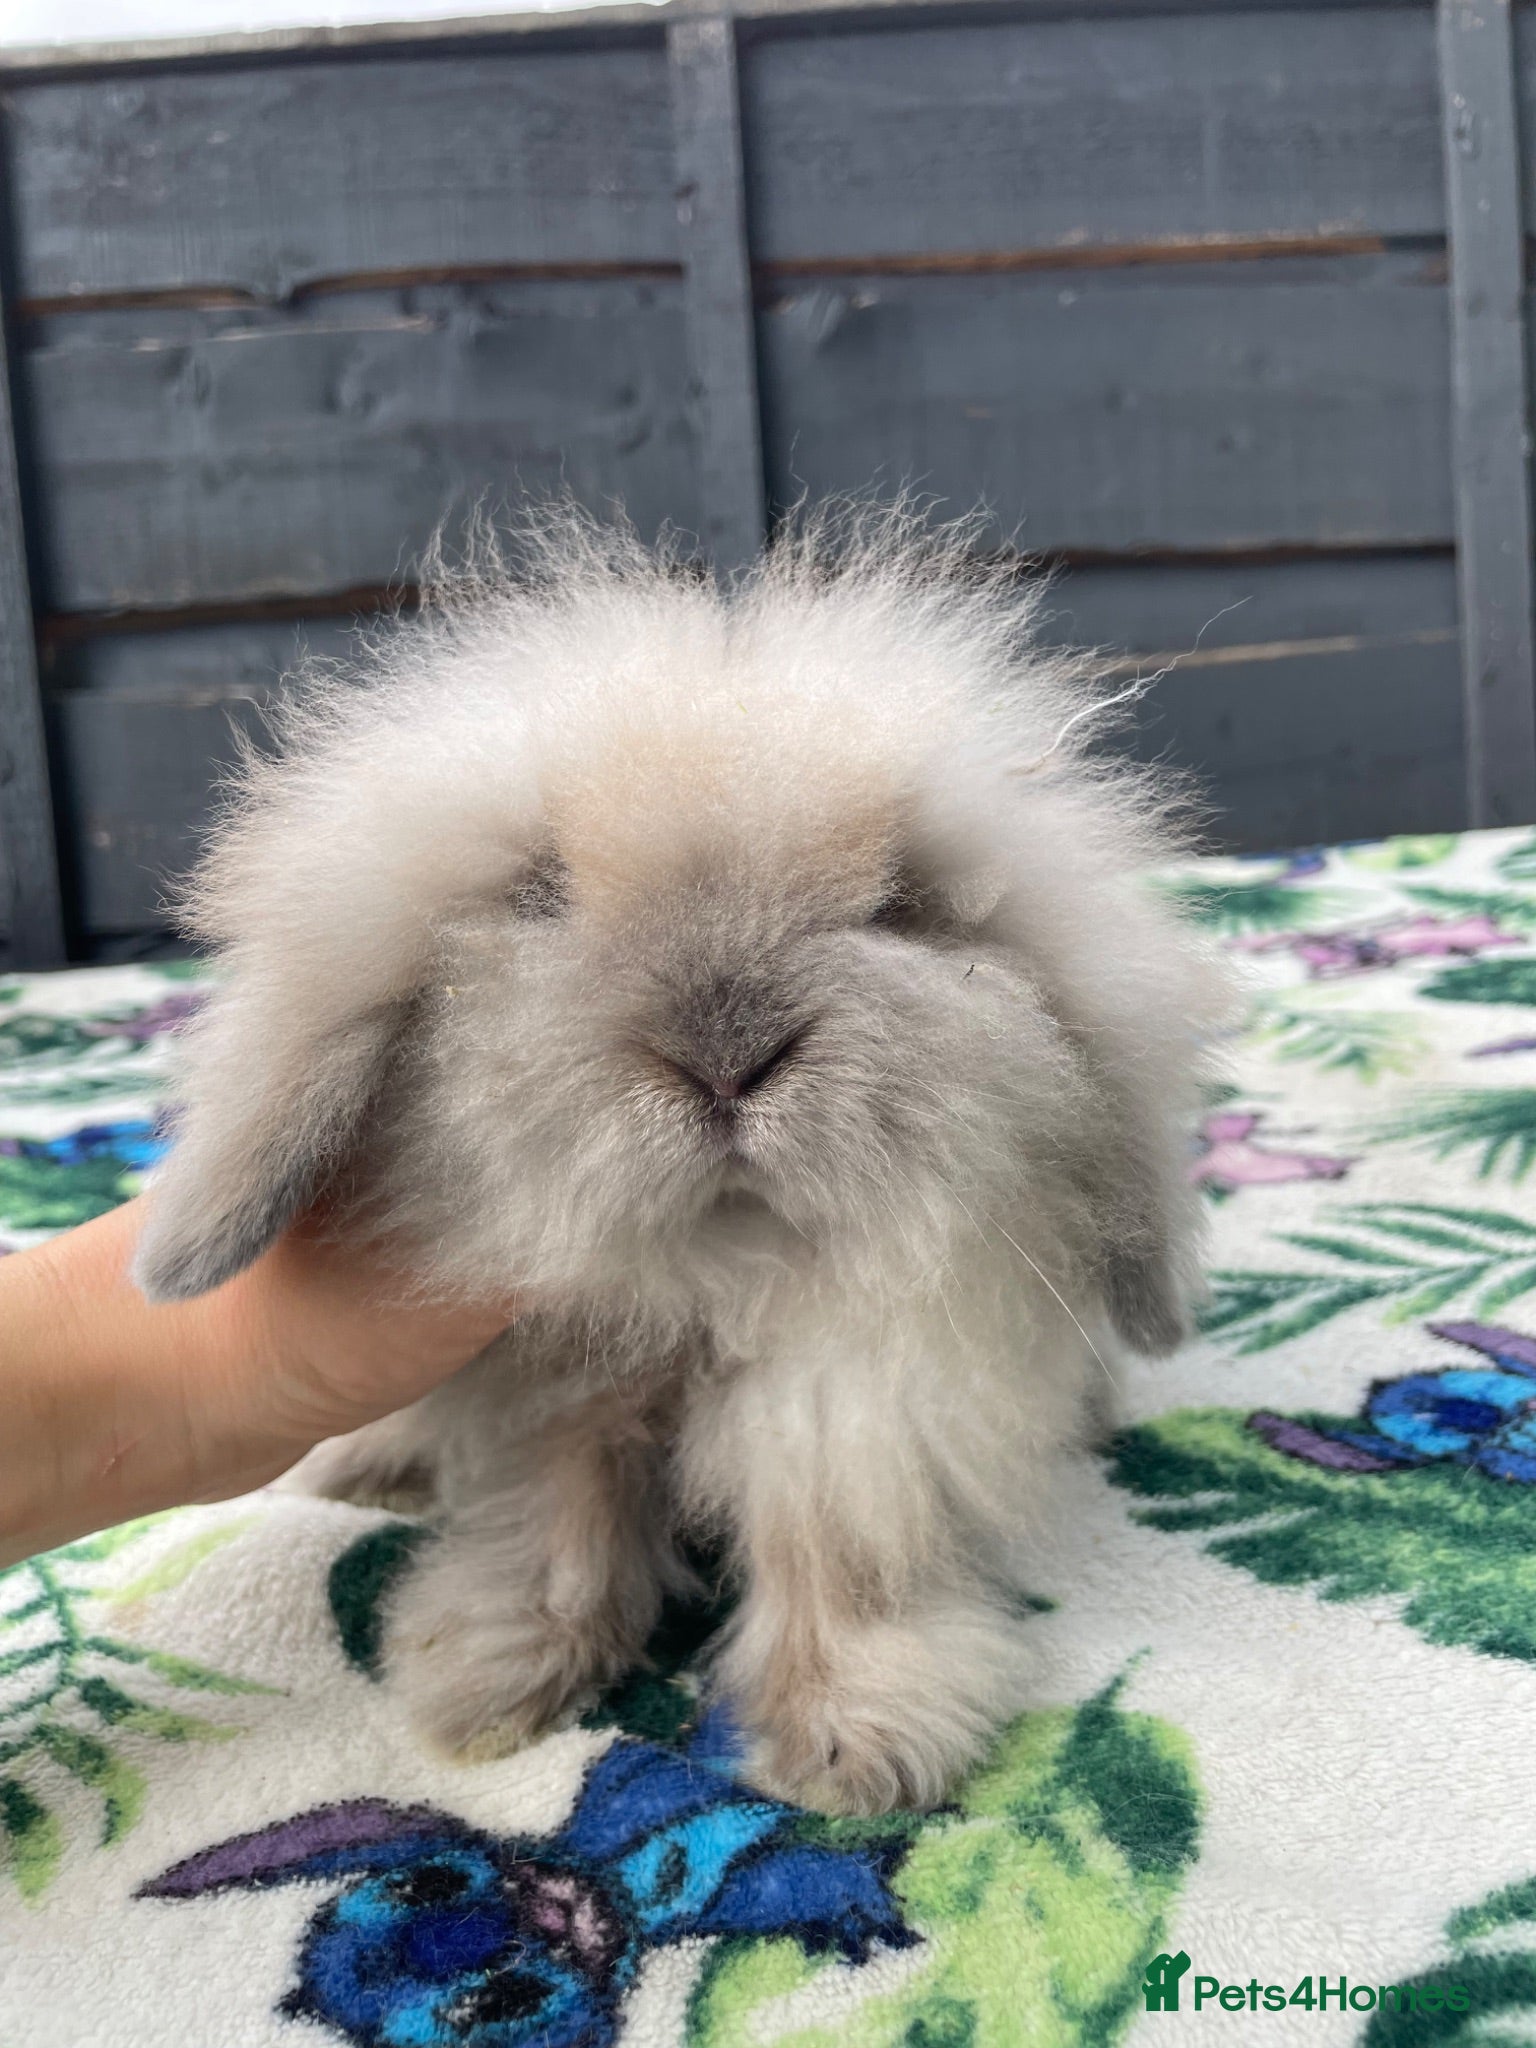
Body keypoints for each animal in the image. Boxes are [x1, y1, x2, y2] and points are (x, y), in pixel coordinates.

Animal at [133, 503, 1224, 1816]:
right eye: (543, 893)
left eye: (898, 905)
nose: (727, 1056)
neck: (720, 1260)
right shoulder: (551, 1385)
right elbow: (555, 1510)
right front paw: (493, 1676)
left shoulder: (846, 1407)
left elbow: (833, 1547)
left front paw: (858, 1740)